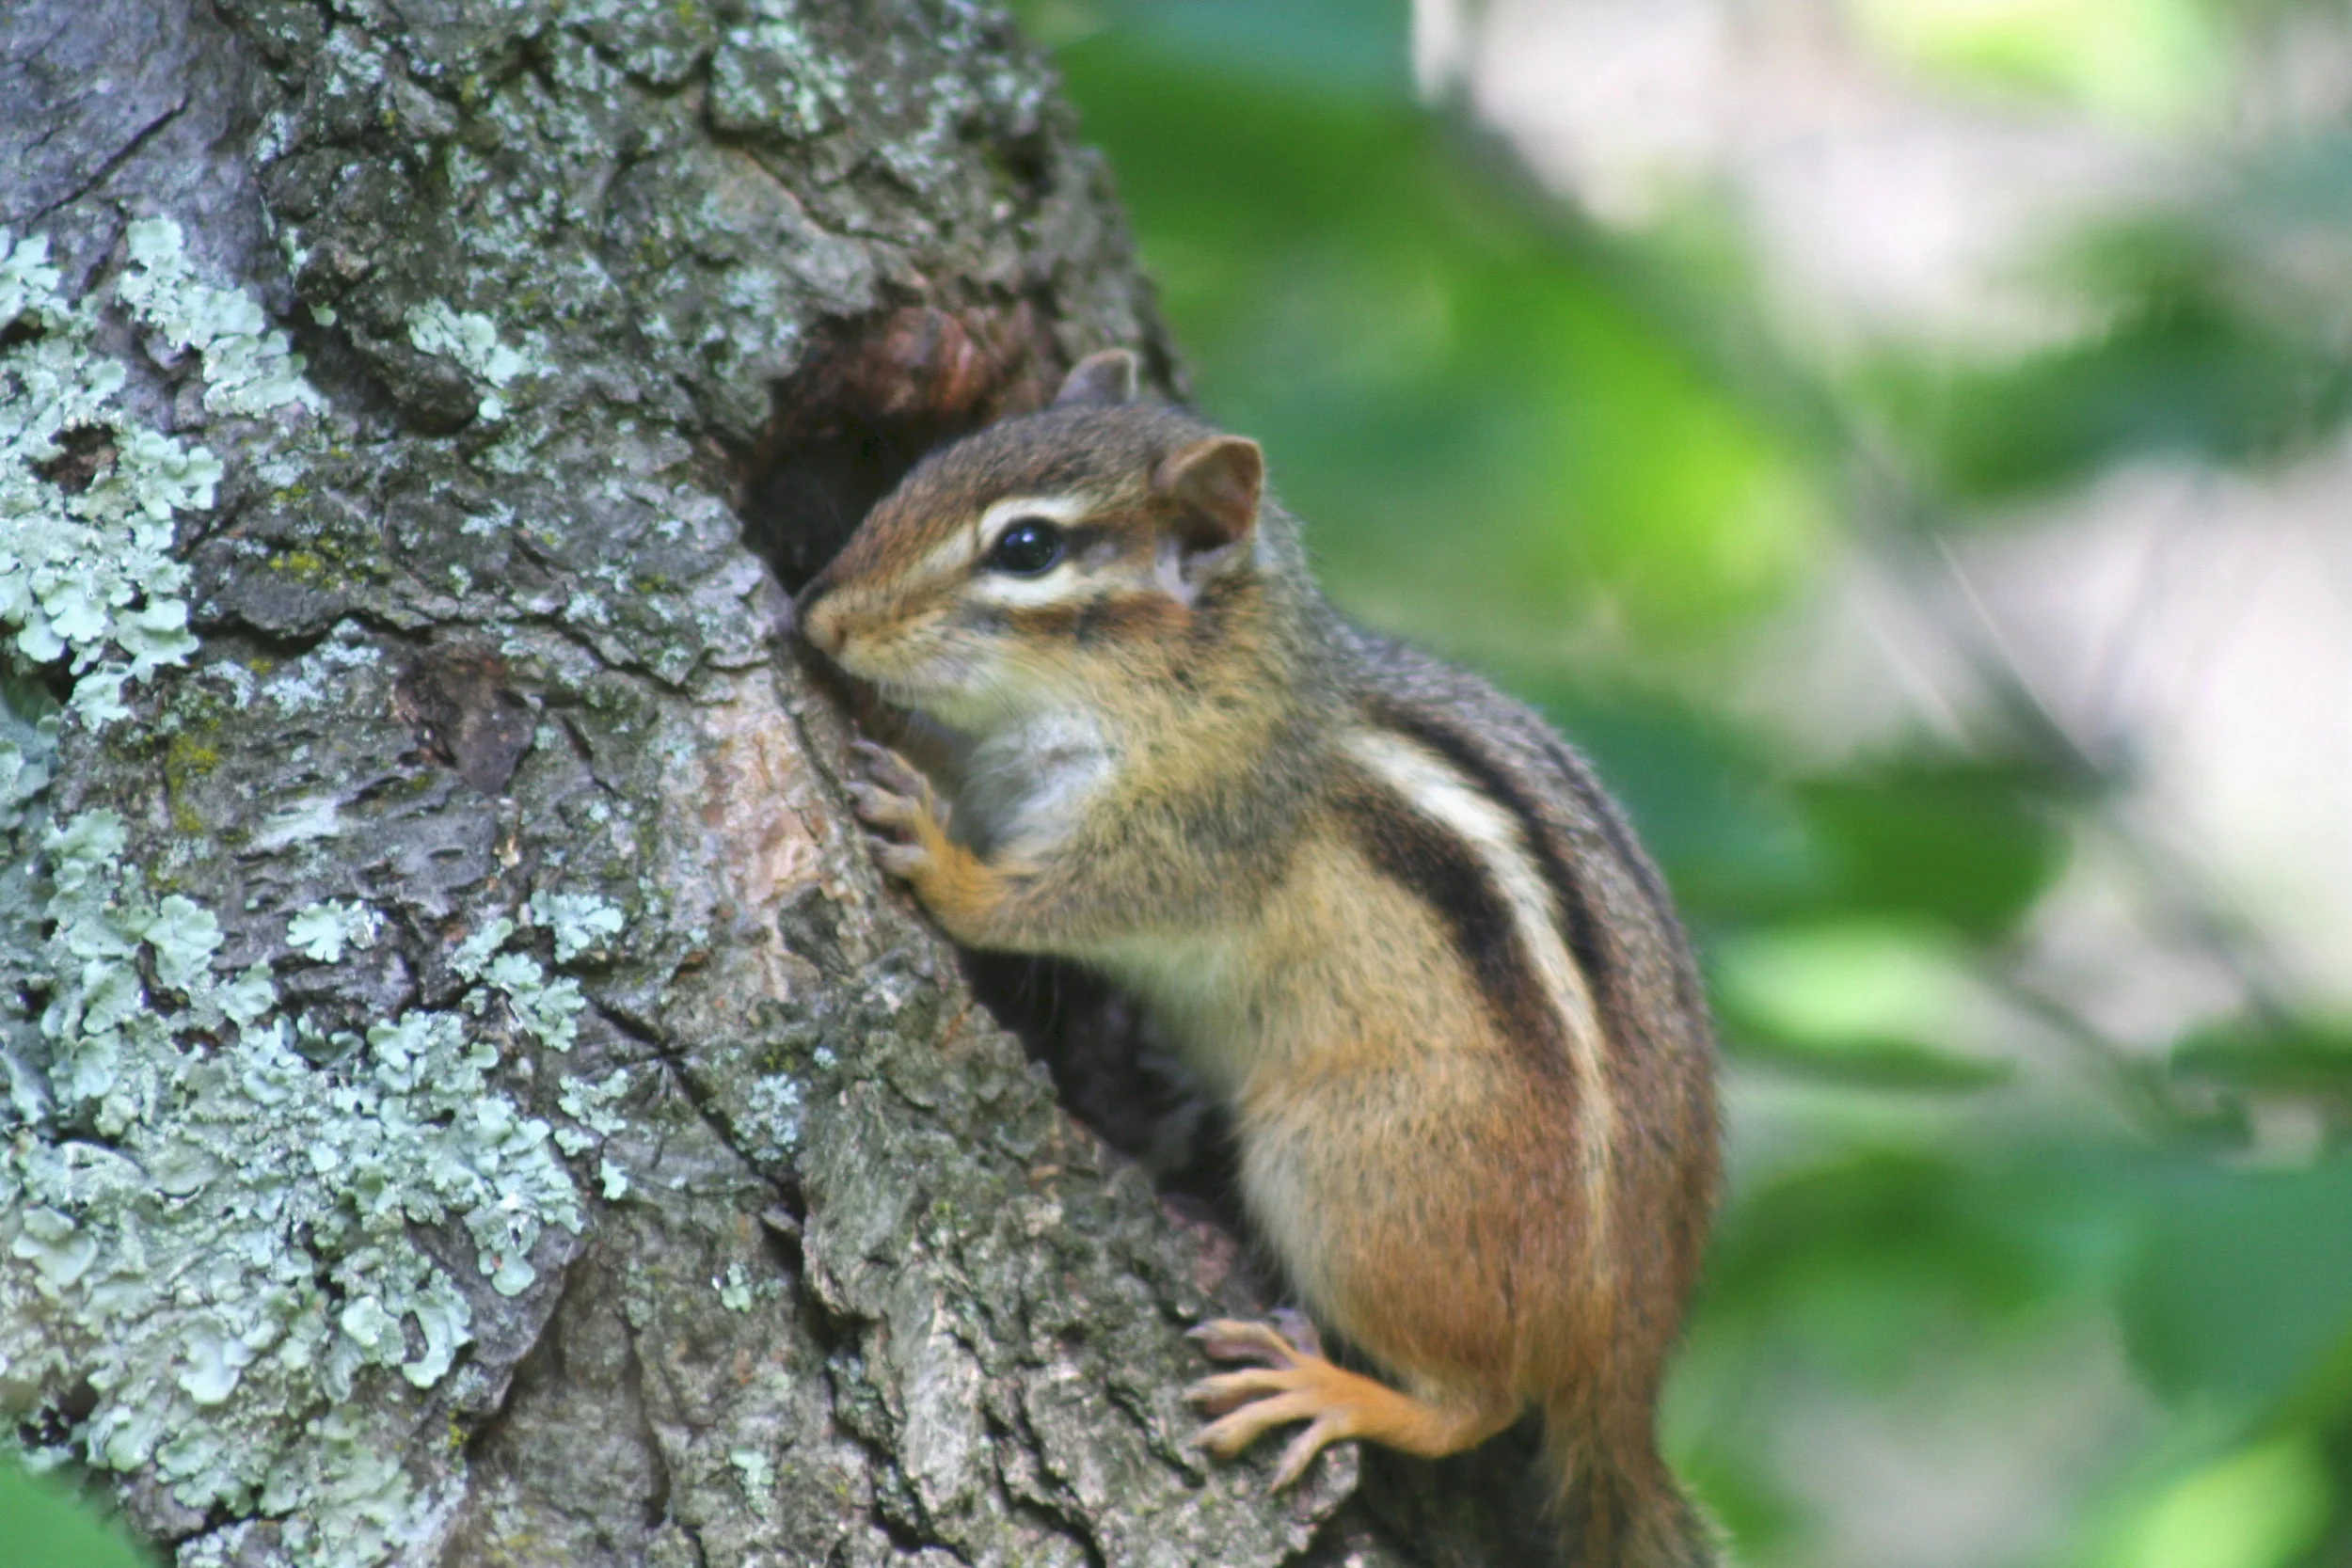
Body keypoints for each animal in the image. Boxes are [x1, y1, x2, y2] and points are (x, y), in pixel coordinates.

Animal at [795, 349, 1721, 1566]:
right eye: (929, 464)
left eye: (1027, 547)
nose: (817, 614)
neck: (1210, 675)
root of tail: (1623, 1354)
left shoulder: (1193, 829)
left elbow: (1056, 899)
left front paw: (943, 855)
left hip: (1343, 1169)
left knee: (1477, 1402)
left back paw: (1329, 1391)